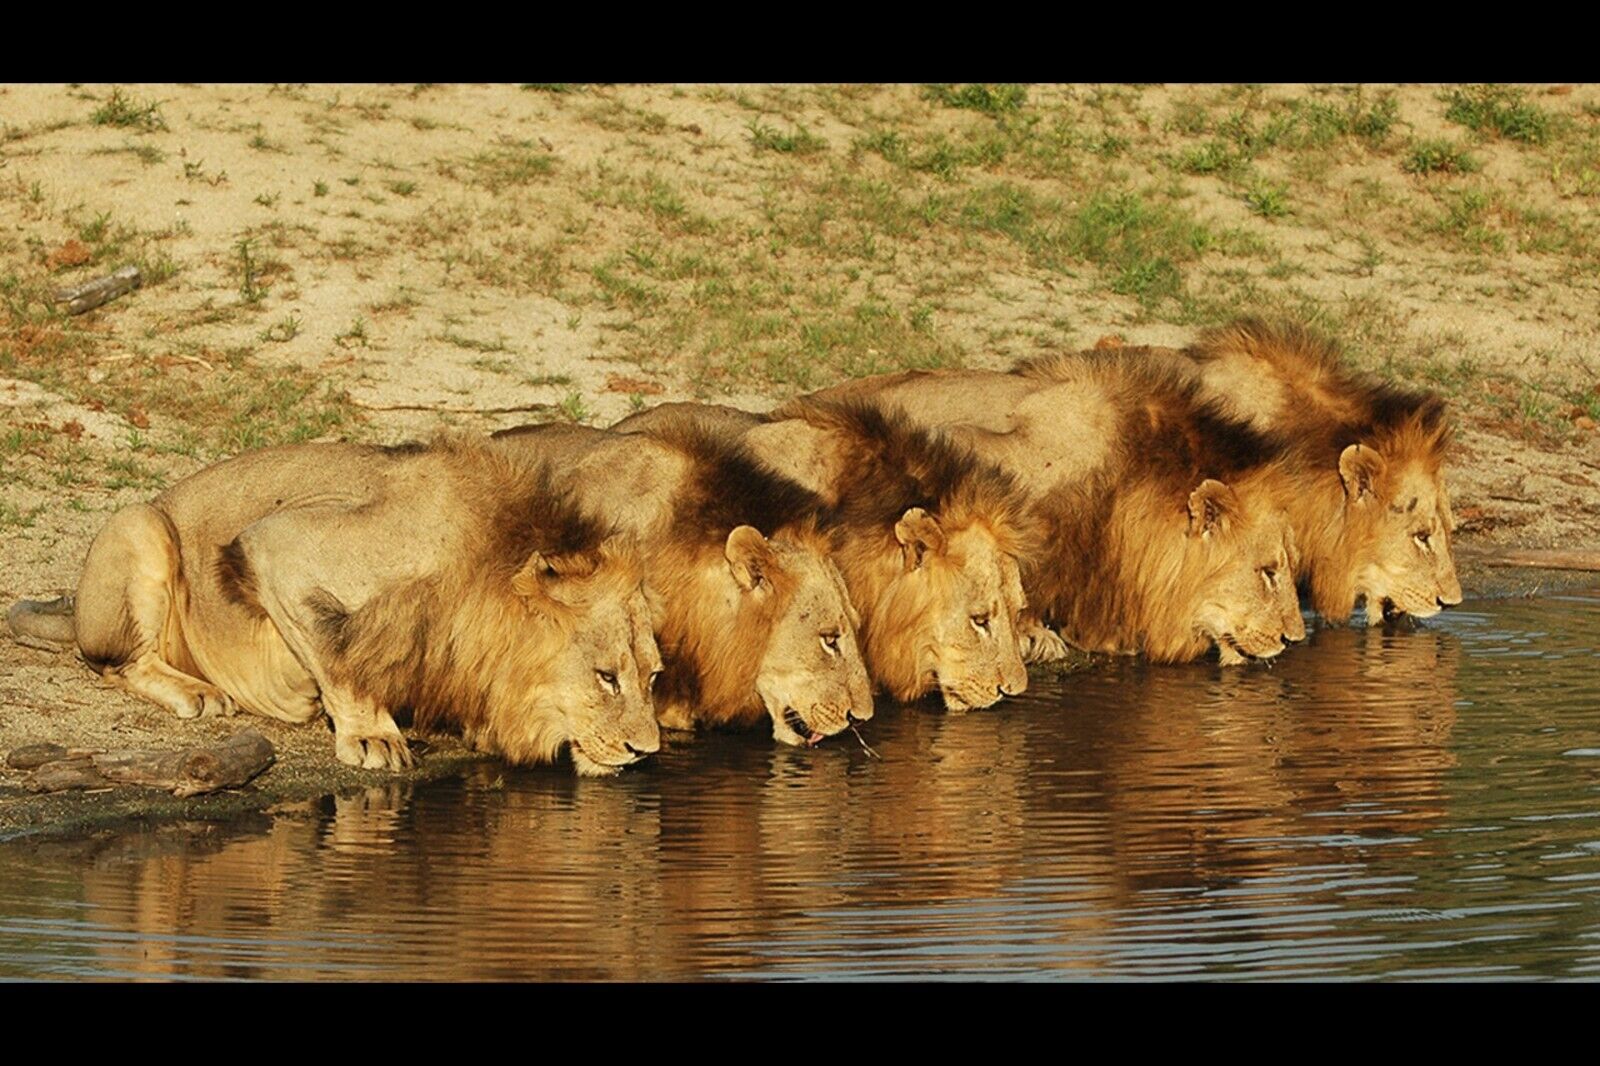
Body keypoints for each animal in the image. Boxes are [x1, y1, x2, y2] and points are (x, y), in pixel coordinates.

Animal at [7, 437, 663, 776]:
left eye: (654, 676)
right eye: (606, 677)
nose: (646, 753)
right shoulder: (277, 545)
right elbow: (339, 654)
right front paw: (372, 736)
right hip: (142, 524)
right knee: (116, 662)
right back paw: (198, 692)